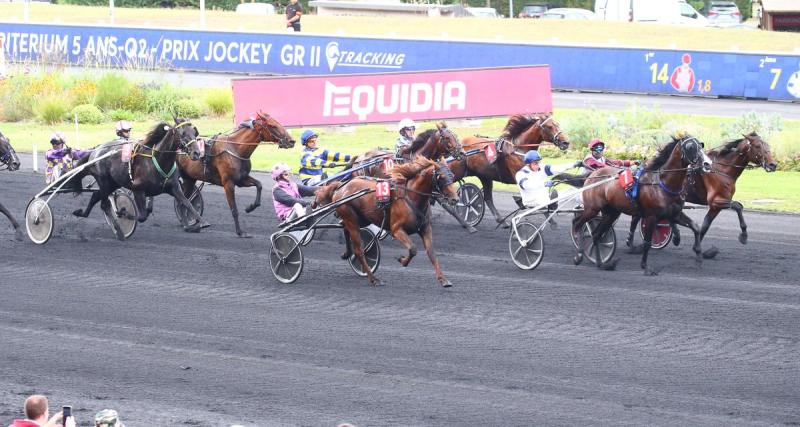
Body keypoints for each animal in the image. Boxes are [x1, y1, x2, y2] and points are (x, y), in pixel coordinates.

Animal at [72, 120, 205, 239]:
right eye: (182, 133)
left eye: (195, 132)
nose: (196, 153)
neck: (158, 161)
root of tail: (96, 150)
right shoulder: (137, 189)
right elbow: (142, 216)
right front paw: (123, 213)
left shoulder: (174, 188)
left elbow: (187, 203)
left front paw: (199, 224)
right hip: (104, 181)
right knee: (105, 205)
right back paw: (119, 232)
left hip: (112, 183)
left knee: (95, 196)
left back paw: (81, 213)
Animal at [316, 159, 460, 290]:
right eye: (441, 177)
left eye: (452, 175)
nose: (455, 199)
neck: (411, 197)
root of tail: (342, 186)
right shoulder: (396, 230)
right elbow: (412, 249)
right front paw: (402, 260)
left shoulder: (425, 229)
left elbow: (431, 253)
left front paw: (443, 279)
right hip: (351, 218)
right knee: (358, 251)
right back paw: (374, 279)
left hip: (361, 219)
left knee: (345, 229)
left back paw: (347, 253)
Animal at [568, 137, 712, 278]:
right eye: (690, 147)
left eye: (701, 145)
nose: (707, 164)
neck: (662, 183)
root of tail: (593, 175)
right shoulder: (651, 217)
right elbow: (647, 242)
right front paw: (646, 268)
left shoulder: (675, 214)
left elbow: (695, 227)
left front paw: (699, 257)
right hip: (592, 208)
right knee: (578, 223)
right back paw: (579, 256)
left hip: (611, 212)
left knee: (596, 234)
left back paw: (601, 263)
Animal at [624, 132, 776, 252]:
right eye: (758, 146)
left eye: (768, 146)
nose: (773, 164)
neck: (722, 170)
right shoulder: (716, 200)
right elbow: (738, 206)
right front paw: (744, 236)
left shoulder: (715, 206)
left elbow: (705, 225)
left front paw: (698, 247)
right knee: (639, 217)